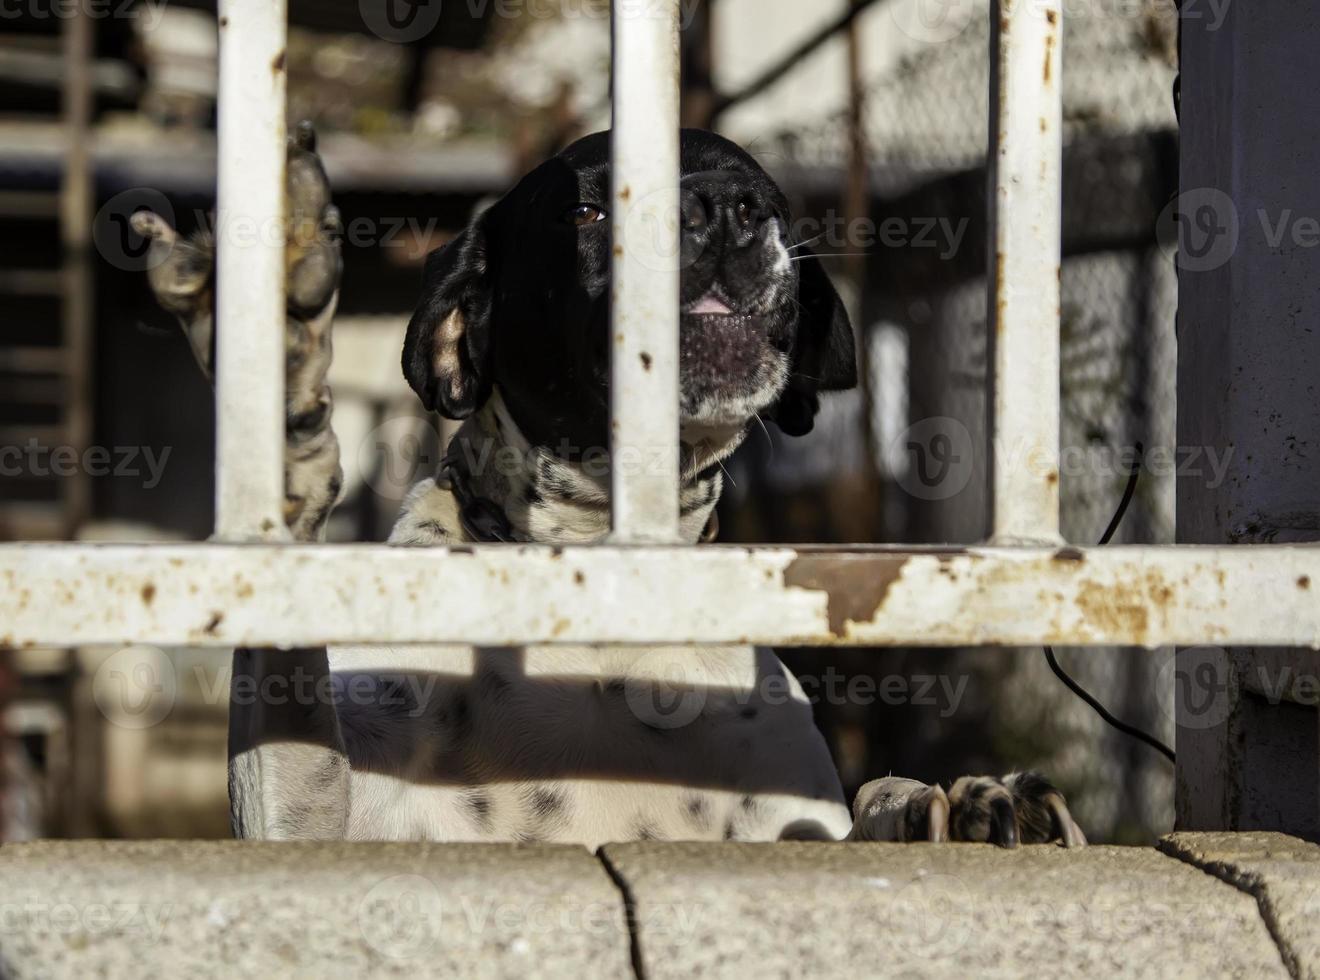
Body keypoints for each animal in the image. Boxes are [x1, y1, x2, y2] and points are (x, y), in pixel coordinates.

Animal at [131, 124, 1082, 850]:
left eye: (768, 203)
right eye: (588, 209)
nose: (725, 211)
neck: (600, 583)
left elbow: (866, 812)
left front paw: (957, 802)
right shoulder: (316, 828)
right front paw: (281, 389)